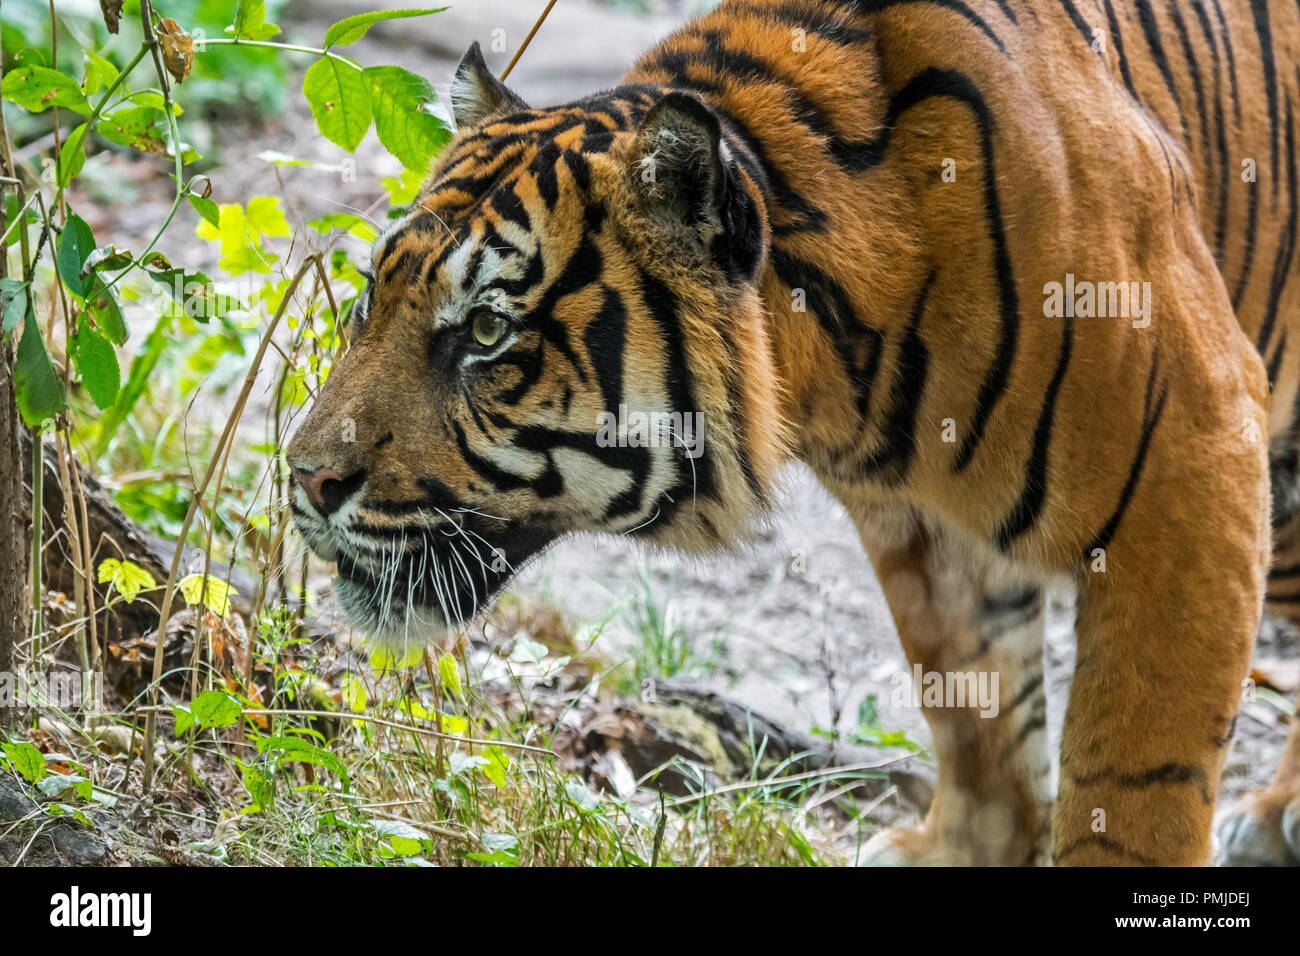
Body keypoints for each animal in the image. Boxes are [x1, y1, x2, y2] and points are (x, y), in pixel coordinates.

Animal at [284, 0, 1300, 868]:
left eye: (489, 329)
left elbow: (1134, 781)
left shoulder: (1196, 464)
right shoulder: (922, 520)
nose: (303, 480)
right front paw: (972, 844)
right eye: (374, 296)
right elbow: (975, 705)